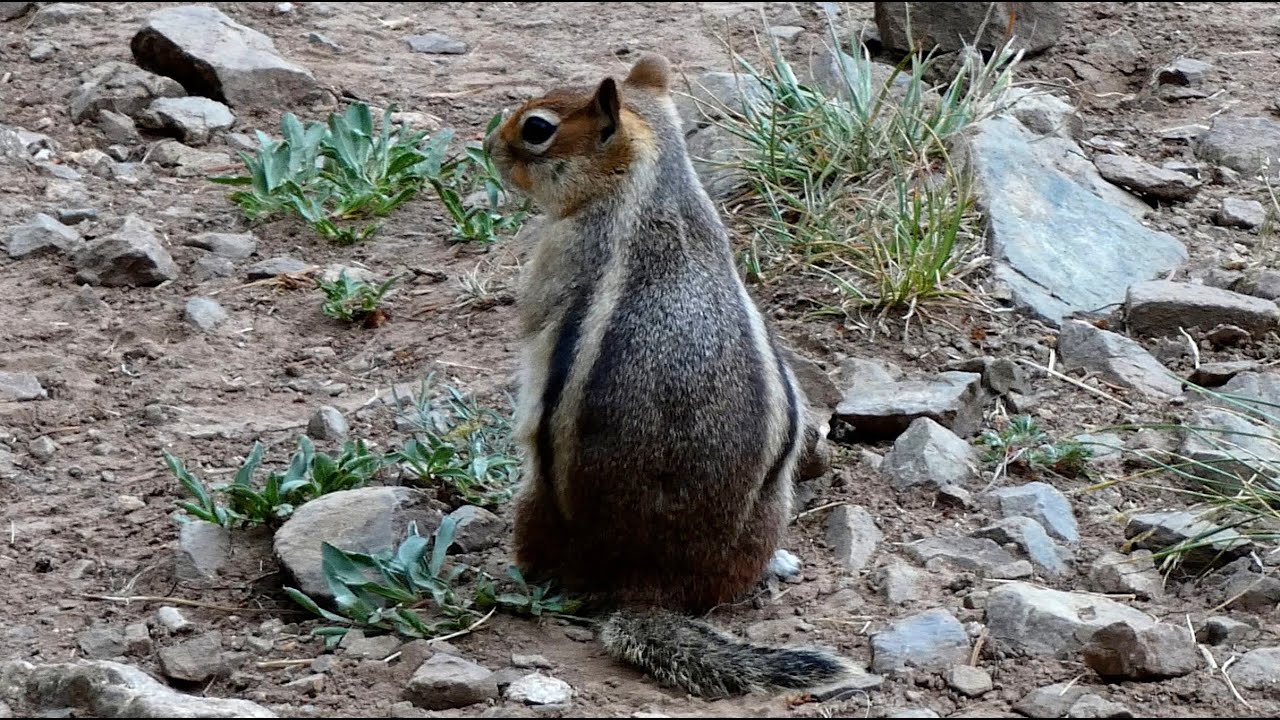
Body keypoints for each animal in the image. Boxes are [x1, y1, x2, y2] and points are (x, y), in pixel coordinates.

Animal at [483, 53, 853, 699]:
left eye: (536, 129)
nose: (489, 146)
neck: (654, 185)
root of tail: (650, 584)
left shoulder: (557, 257)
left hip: (535, 502)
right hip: (768, 512)